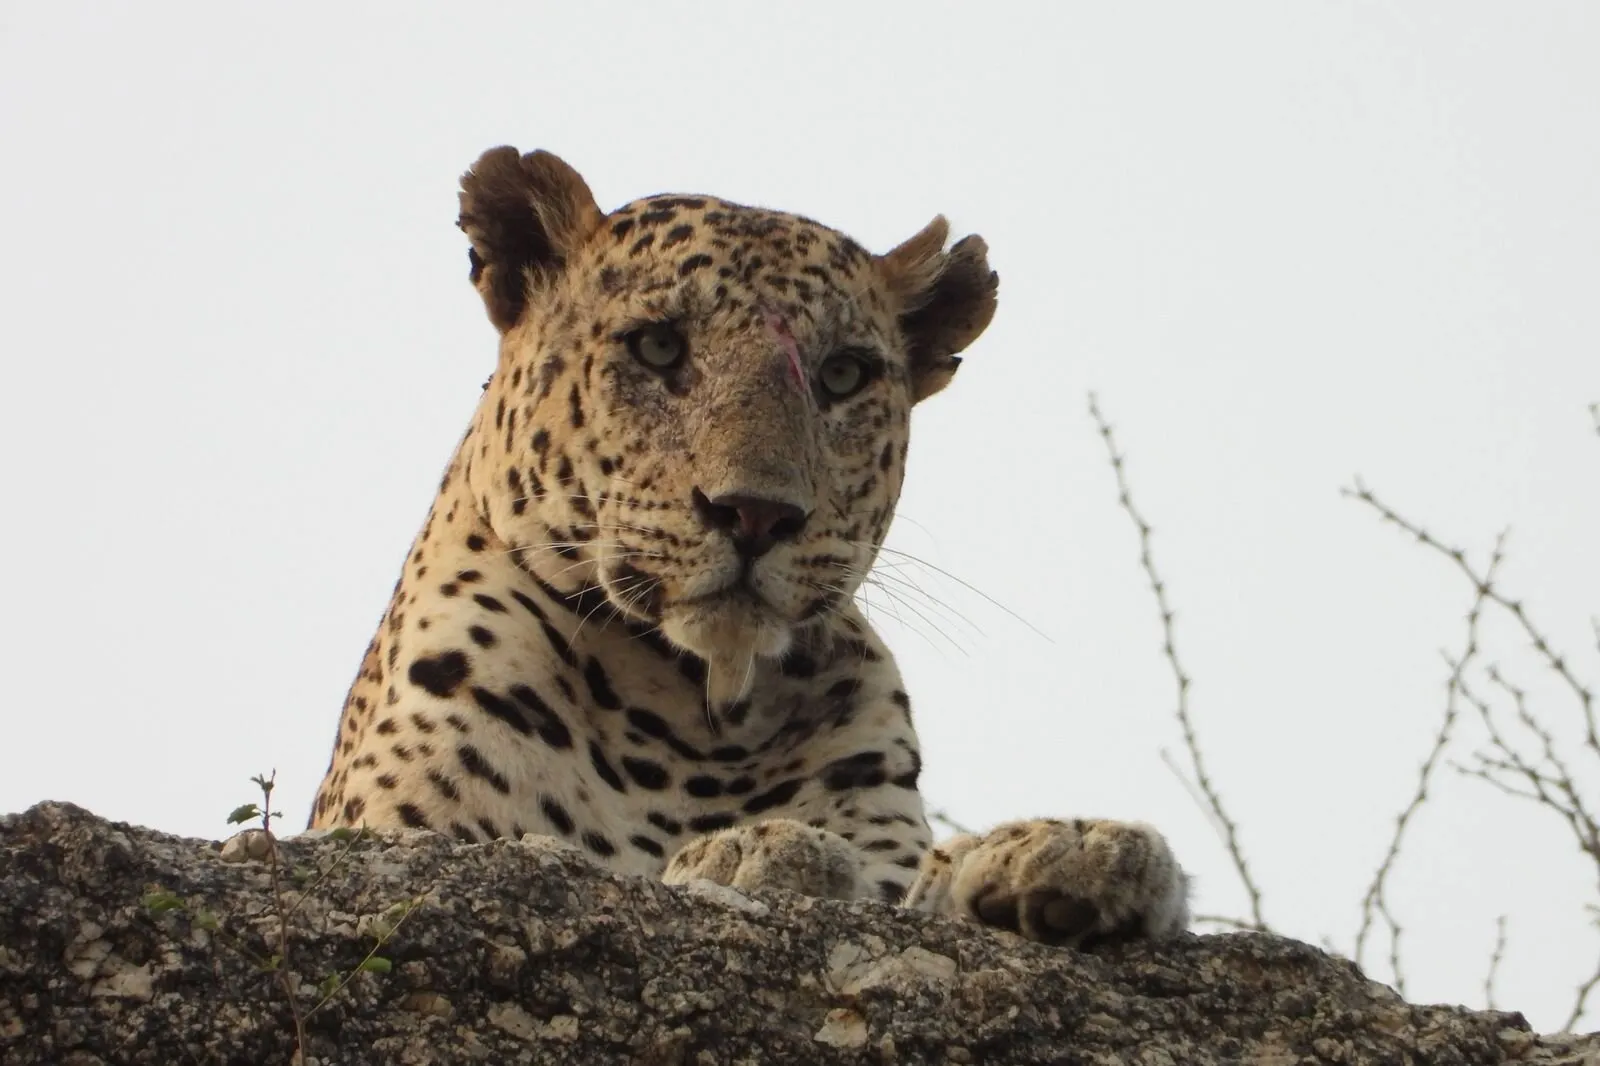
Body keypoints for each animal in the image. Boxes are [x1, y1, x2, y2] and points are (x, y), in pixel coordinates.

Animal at [297, 145, 1190, 947]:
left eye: (842, 375)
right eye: (657, 346)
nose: (757, 514)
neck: (700, 723)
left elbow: (912, 876)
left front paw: (1069, 851)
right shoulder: (399, 829)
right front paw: (760, 852)